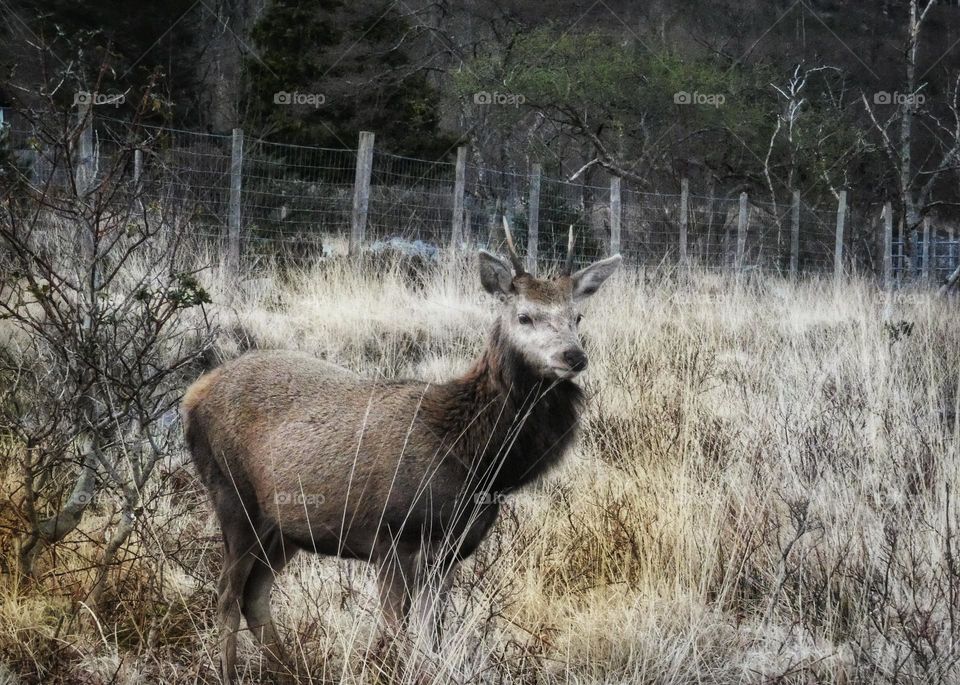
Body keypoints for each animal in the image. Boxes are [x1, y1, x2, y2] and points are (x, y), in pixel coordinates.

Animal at [181, 220, 621, 682]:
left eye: (577, 316)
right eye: (525, 315)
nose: (573, 356)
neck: (477, 463)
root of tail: (192, 395)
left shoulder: (449, 551)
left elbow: (433, 638)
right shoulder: (392, 536)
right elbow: (397, 633)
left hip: (285, 527)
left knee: (255, 593)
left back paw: (292, 669)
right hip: (232, 495)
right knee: (227, 592)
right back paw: (230, 672)